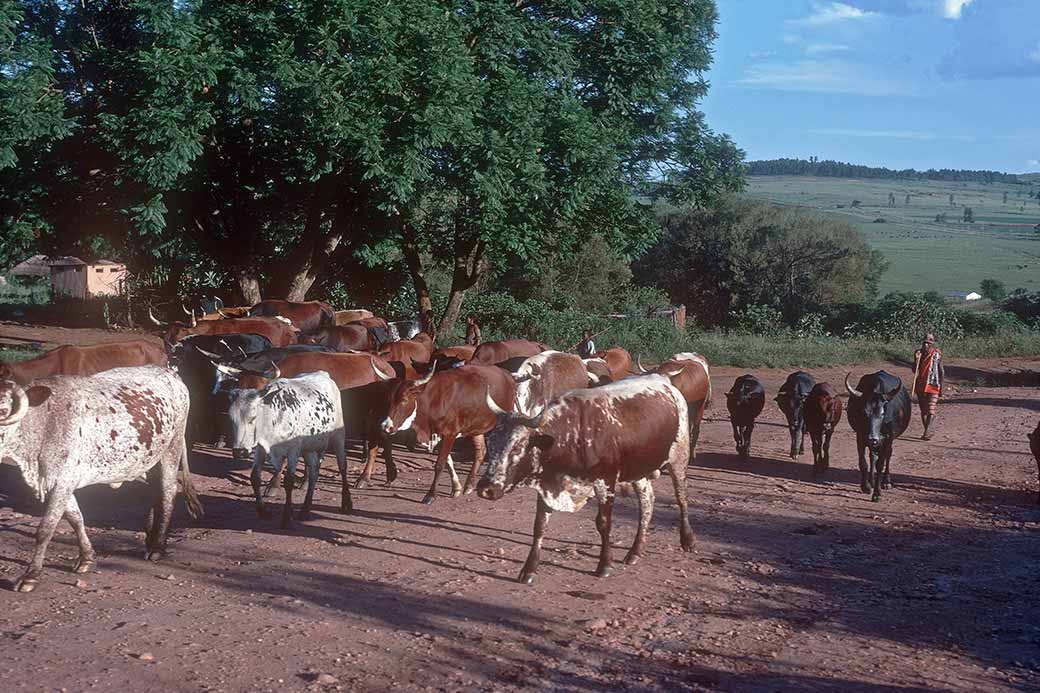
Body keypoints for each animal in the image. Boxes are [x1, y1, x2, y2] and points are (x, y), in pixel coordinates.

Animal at [0, 366, 203, 592]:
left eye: (2, 410)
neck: (43, 423)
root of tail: (171, 373)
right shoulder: (60, 483)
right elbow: (76, 518)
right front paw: (87, 558)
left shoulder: (62, 482)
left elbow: (45, 528)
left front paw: (30, 575)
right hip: (150, 459)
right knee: (156, 492)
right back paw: (151, 538)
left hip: (171, 449)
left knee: (168, 492)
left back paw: (157, 546)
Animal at [227, 370, 348, 526]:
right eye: (231, 418)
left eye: (253, 417)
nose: (239, 451)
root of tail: (323, 374)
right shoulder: (261, 448)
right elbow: (255, 477)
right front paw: (263, 511)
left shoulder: (293, 450)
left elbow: (289, 481)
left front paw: (286, 518)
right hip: (309, 448)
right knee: (314, 472)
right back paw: (305, 510)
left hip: (338, 436)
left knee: (342, 466)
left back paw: (346, 502)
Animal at [377, 363, 516, 503]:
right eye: (389, 400)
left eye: (404, 400)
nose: (385, 426)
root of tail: (506, 374)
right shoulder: (438, 435)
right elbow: (448, 462)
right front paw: (456, 488)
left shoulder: (449, 433)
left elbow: (440, 464)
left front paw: (430, 495)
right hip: (477, 427)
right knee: (480, 452)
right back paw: (469, 485)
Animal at [477, 375, 693, 584]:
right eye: (491, 443)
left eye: (517, 447)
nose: (486, 488)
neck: (572, 435)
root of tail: (666, 383)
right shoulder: (547, 486)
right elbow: (539, 525)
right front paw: (529, 569)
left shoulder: (606, 482)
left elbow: (603, 523)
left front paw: (604, 565)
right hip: (638, 471)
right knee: (647, 502)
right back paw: (635, 551)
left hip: (679, 457)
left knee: (681, 498)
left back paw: (687, 540)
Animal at [845, 371, 912, 502]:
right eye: (864, 413)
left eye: (882, 413)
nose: (872, 438)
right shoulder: (860, 437)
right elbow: (863, 463)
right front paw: (865, 486)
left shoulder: (887, 439)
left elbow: (880, 464)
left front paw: (877, 493)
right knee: (872, 456)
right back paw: (871, 480)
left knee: (888, 456)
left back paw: (886, 482)